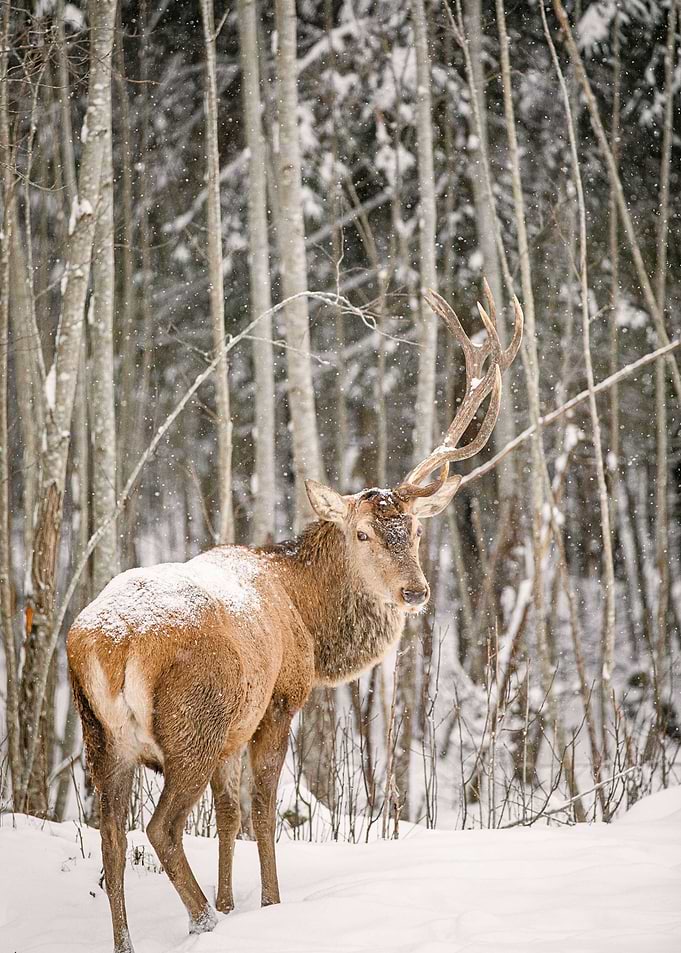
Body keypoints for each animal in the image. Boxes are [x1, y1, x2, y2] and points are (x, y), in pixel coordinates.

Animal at [66, 286, 522, 953]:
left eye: (413, 530)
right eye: (362, 533)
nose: (415, 591)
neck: (305, 613)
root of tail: (108, 643)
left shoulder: (238, 726)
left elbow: (229, 814)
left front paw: (232, 902)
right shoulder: (278, 701)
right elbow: (261, 809)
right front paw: (267, 905)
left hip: (103, 736)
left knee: (111, 839)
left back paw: (135, 939)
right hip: (193, 724)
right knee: (160, 828)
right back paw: (200, 921)